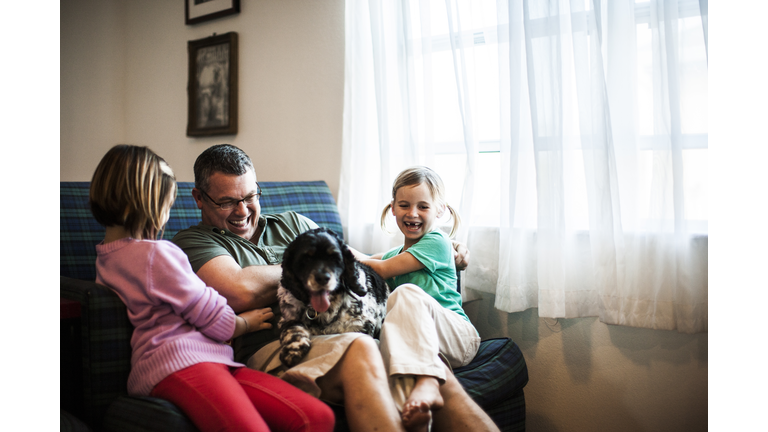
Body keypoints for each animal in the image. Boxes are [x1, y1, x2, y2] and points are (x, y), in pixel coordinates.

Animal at [278, 228, 390, 366]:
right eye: (306, 259)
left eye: (334, 258)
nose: (322, 278)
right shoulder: (287, 318)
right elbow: (292, 329)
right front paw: (293, 350)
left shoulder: (363, 325)